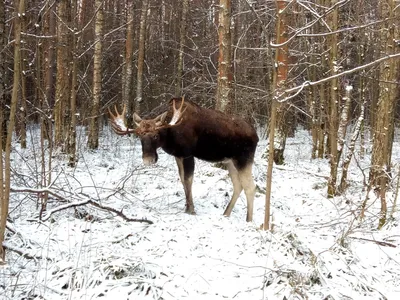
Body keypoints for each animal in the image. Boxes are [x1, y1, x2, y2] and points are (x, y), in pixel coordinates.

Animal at [108, 97, 260, 221]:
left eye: (156, 135)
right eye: (139, 136)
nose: (148, 160)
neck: (169, 135)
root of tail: (256, 136)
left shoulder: (187, 154)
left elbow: (188, 180)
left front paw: (191, 209)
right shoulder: (178, 155)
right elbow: (182, 179)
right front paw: (186, 207)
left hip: (243, 159)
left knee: (251, 187)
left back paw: (249, 220)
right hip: (230, 161)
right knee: (238, 185)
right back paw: (226, 213)